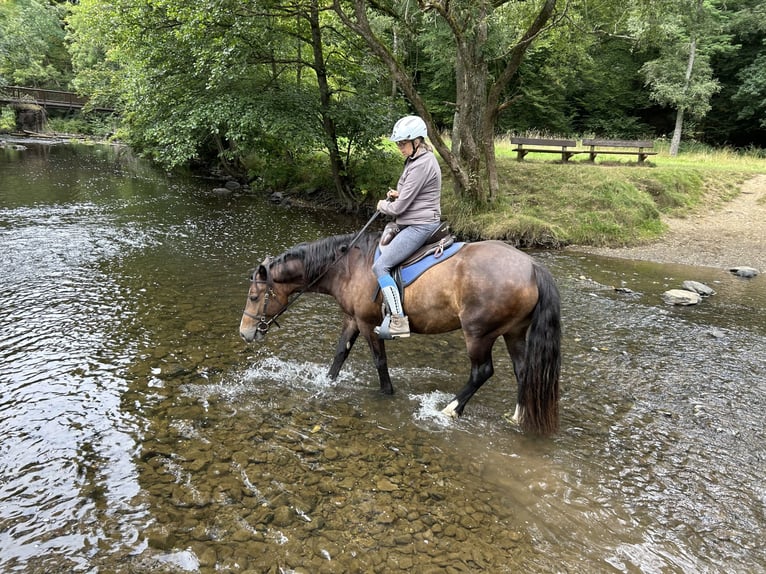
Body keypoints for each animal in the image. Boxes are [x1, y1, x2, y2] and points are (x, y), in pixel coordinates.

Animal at [239, 231, 562, 435]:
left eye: (254, 297)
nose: (245, 333)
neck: (348, 267)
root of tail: (532, 266)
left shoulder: (367, 323)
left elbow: (379, 362)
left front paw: (386, 393)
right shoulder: (352, 319)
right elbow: (340, 354)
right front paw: (327, 382)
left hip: (479, 334)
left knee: (482, 371)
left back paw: (449, 410)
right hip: (513, 332)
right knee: (523, 371)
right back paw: (519, 415)